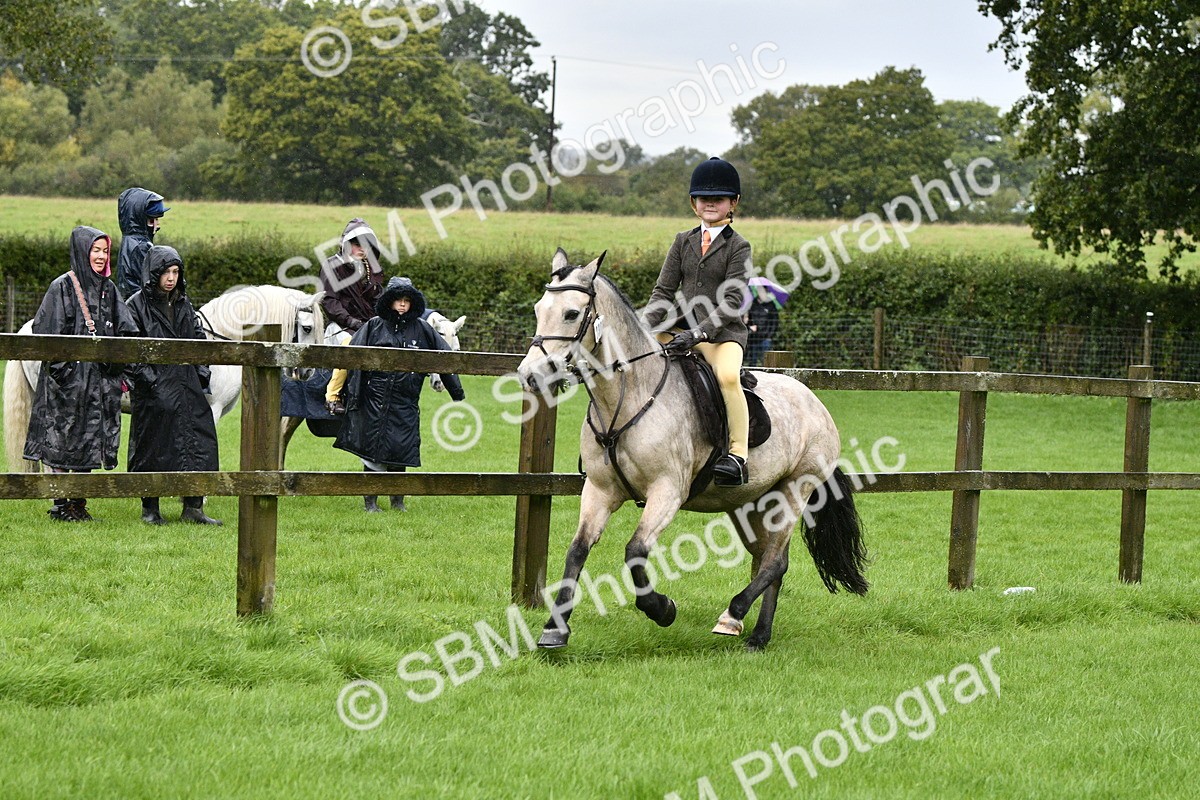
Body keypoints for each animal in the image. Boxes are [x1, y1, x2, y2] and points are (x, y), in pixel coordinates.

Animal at [516, 249, 868, 651]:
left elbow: (635, 551)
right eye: (539, 308)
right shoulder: (600, 490)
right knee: (769, 560)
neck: (627, 395)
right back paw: (756, 634)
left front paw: (662, 609)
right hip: (750, 504)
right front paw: (554, 629)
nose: (529, 376)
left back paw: (733, 614)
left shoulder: (667, 491)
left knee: (775, 562)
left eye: (572, 314)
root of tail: (815, 402)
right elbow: (577, 549)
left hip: (795, 489)